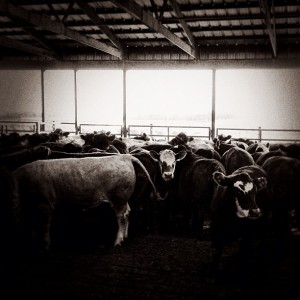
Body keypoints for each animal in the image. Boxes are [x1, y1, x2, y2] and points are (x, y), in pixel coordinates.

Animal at [12, 154, 162, 252]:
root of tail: (125, 156)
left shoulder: (45, 204)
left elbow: (44, 225)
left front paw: (45, 245)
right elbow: (33, 223)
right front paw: (33, 240)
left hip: (118, 197)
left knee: (122, 216)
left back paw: (117, 242)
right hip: (123, 199)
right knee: (128, 212)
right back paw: (124, 236)